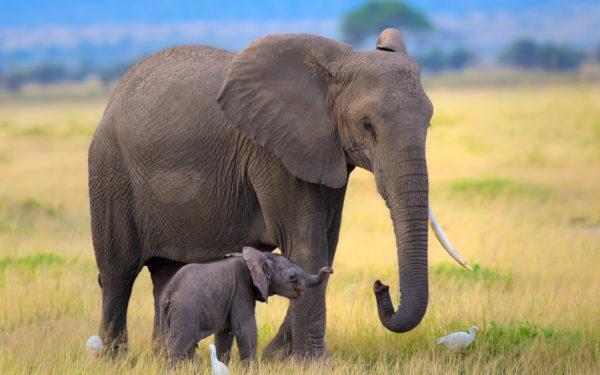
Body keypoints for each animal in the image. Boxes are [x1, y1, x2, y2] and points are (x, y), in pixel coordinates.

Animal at [157, 247, 330, 368]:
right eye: (292, 277)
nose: (329, 269)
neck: (260, 256)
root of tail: (168, 294)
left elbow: (225, 333)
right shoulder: (241, 289)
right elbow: (244, 329)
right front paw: (252, 370)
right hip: (185, 312)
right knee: (180, 344)